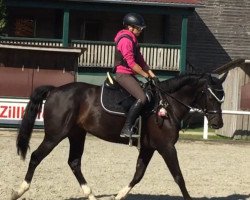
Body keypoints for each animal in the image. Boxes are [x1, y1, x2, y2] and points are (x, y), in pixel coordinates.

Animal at [11, 72, 227, 200]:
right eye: (210, 96)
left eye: (222, 97)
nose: (218, 124)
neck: (167, 105)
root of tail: (55, 90)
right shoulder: (166, 147)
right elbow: (179, 177)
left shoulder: (149, 147)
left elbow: (138, 174)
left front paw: (120, 195)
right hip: (56, 135)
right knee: (36, 157)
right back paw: (19, 190)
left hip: (76, 134)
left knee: (74, 162)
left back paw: (90, 195)